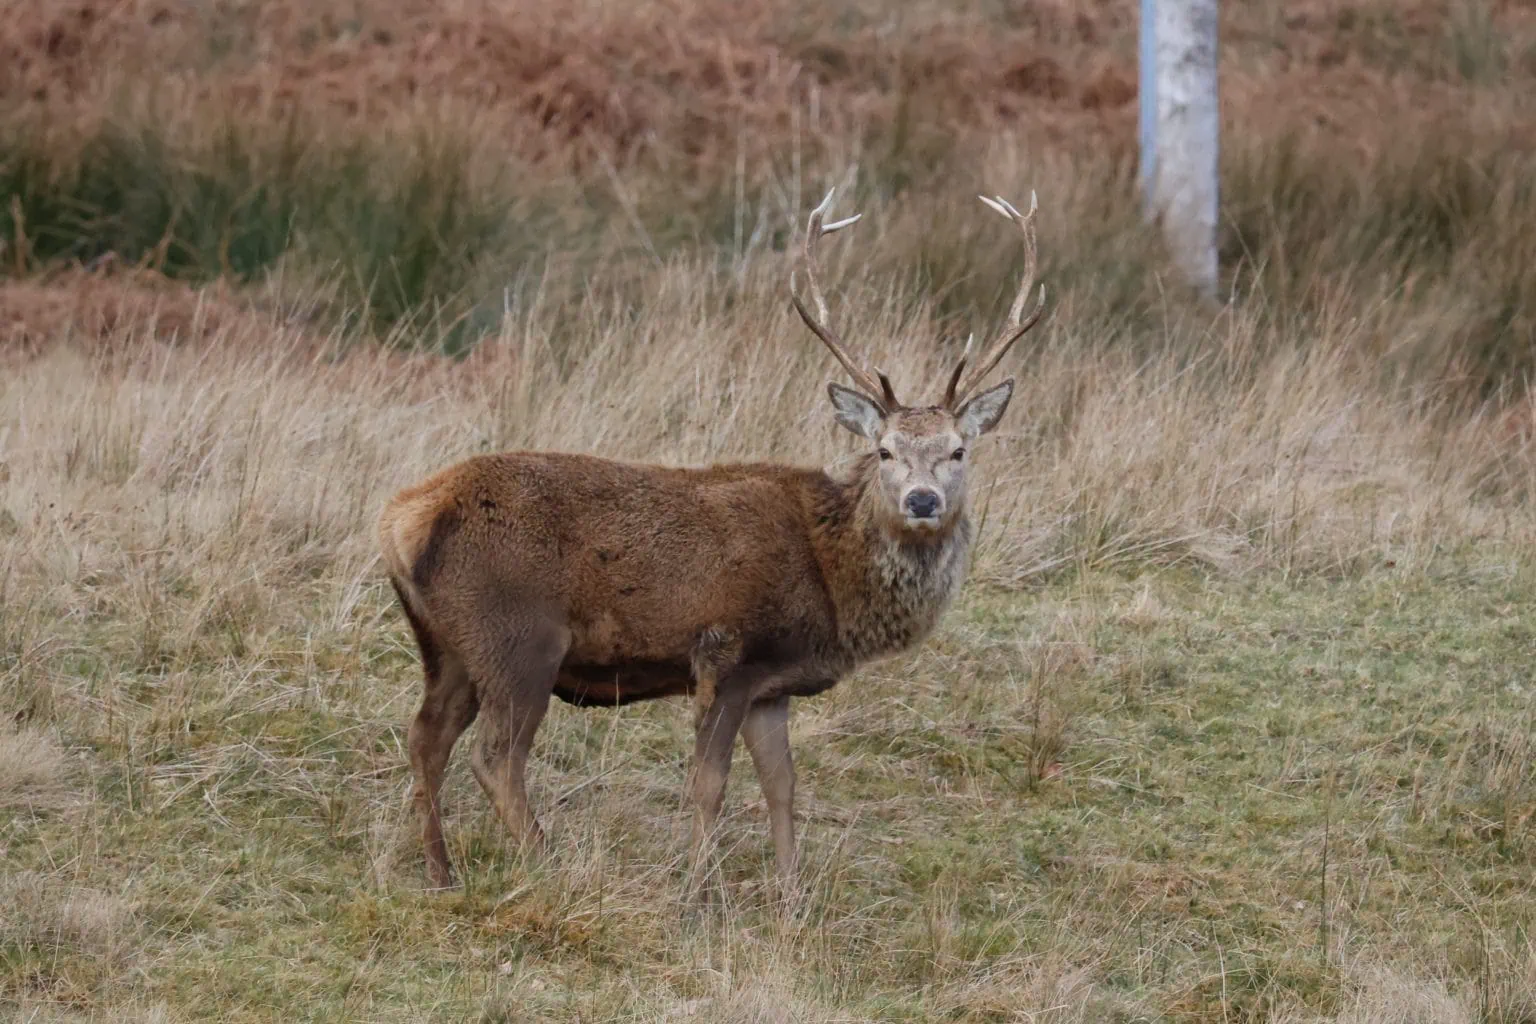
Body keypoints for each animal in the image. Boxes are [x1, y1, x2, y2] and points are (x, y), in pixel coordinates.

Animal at [377, 188, 1046, 890]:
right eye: (885, 450)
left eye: (958, 450)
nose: (922, 501)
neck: (830, 577)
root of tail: (402, 519)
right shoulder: (725, 654)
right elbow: (709, 784)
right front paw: (697, 890)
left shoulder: (771, 684)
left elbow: (782, 785)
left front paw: (791, 891)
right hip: (519, 637)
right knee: (496, 757)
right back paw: (547, 862)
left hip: (446, 644)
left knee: (426, 736)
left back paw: (440, 870)